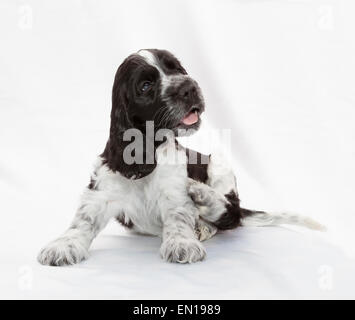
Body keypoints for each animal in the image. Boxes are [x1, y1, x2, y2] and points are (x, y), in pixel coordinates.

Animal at [36, 49, 326, 264]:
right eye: (146, 85)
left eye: (177, 69)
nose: (190, 87)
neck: (149, 150)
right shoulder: (101, 188)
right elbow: (82, 220)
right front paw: (62, 245)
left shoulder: (174, 191)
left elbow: (178, 217)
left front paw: (182, 243)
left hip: (219, 164)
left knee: (230, 212)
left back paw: (201, 196)